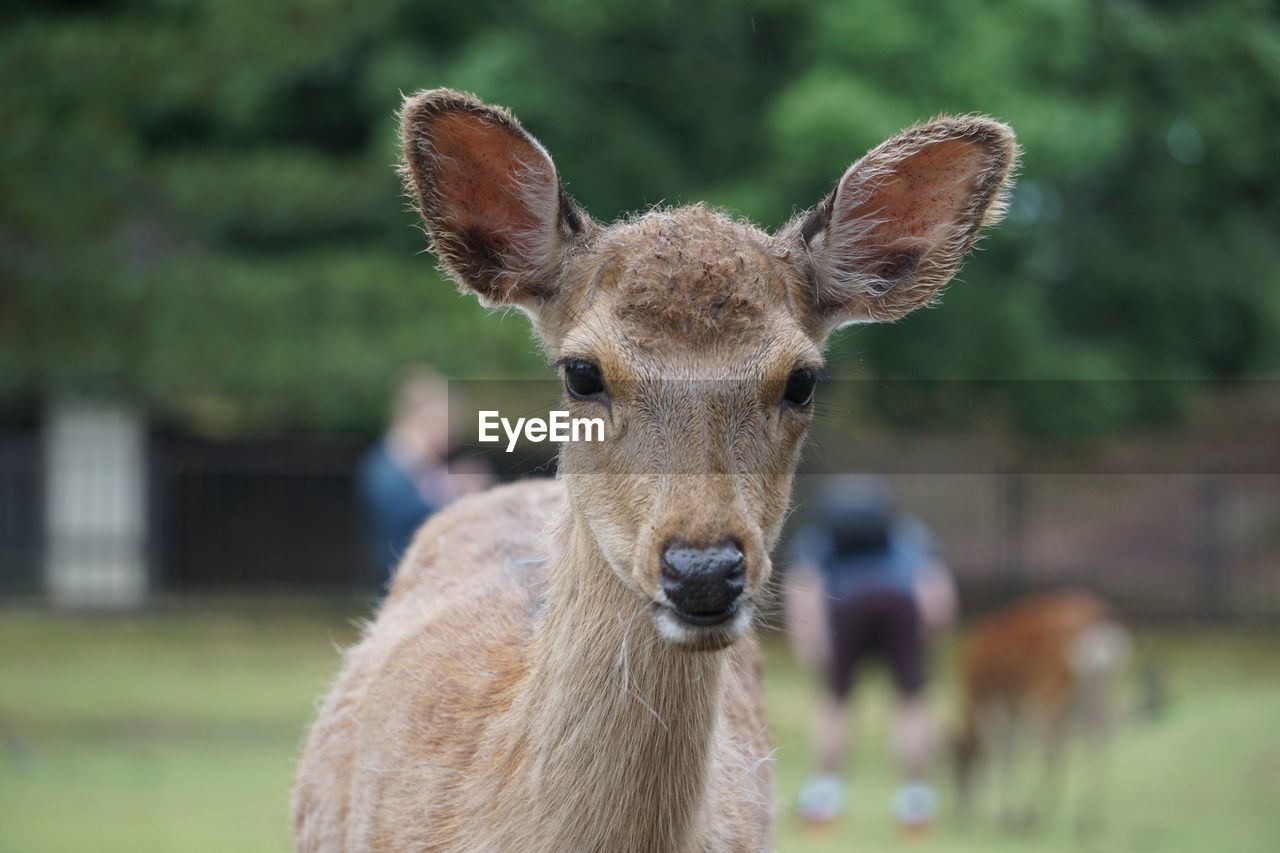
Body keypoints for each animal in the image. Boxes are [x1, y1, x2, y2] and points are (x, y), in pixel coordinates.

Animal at [952, 591, 1131, 829]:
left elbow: (1002, 749)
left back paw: (1035, 813)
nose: (959, 809)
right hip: (1100, 690)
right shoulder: (1013, 704)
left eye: (956, 763)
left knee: (1052, 744)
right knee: (1101, 734)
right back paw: (1090, 817)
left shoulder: (991, 697)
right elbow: (1013, 748)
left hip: (1049, 689)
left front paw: (1003, 814)